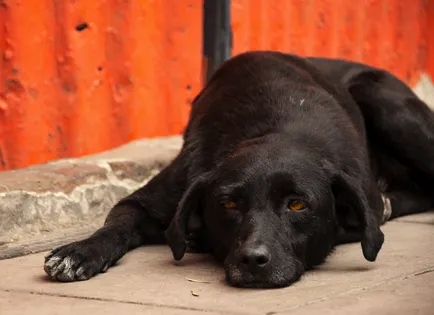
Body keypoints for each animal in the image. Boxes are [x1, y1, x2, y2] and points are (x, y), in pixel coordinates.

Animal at [42, 51, 432, 288]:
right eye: (228, 204)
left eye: (297, 204)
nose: (253, 260)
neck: (275, 128)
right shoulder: (149, 199)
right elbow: (116, 225)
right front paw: (79, 252)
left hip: (384, 103)